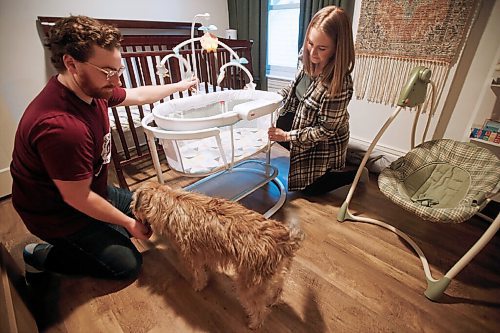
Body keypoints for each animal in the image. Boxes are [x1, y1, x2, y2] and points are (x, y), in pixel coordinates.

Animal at [132, 180, 304, 328]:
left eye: (134, 203)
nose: (132, 212)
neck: (170, 201)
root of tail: (285, 240)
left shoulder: (190, 255)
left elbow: (198, 274)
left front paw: (198, 286)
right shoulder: (206, 251)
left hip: (249, 287)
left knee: (260, 310)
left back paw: (254, 324)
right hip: (278, 275)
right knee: (278, 290)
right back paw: (273, 301)